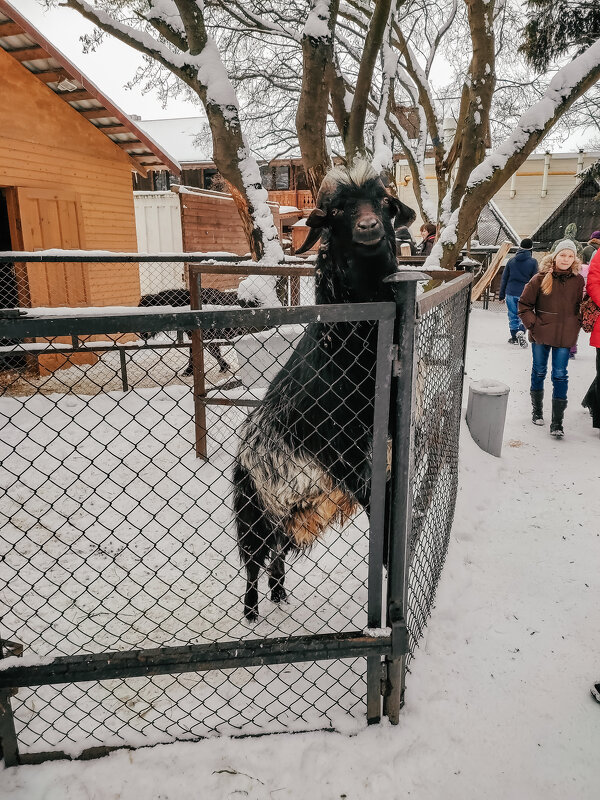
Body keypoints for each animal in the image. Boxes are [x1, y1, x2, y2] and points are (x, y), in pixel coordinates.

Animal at [232, 162, 414, 620]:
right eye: (337, 212)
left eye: (383, 202)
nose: (368, 227)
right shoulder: (344, 452)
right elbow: (377, 509)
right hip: (253, 511)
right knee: (254, 559)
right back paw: (252, 611)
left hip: (290, 511)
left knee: (277, 554)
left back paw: (279, 595)